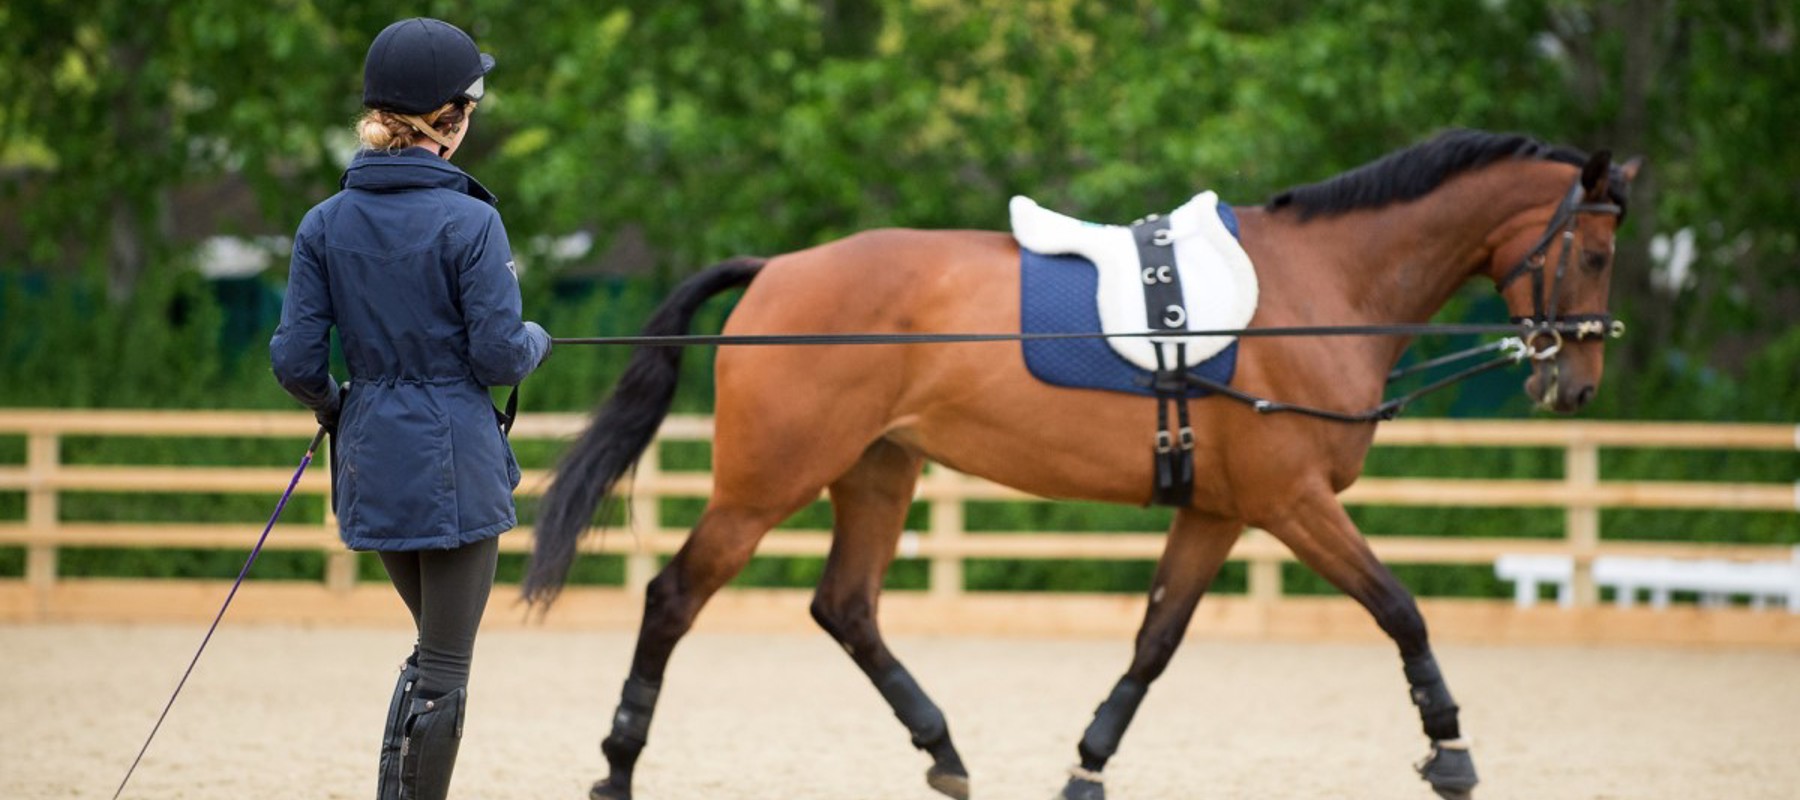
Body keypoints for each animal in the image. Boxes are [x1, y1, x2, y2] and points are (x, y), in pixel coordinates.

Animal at [523, 129, 1638, 800]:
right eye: (1592, 254)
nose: (1577, 387)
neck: (1321, 289)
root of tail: (779, 270)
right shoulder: (1292, 501)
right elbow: (1400, 607)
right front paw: (1449, 744)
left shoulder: (1220, 511)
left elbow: (1155, 641)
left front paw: (1087, 765)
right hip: (769, 483)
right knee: (675, 594)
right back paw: (617, 765)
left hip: (879, 470)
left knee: (846, 606)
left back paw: (944, 750)